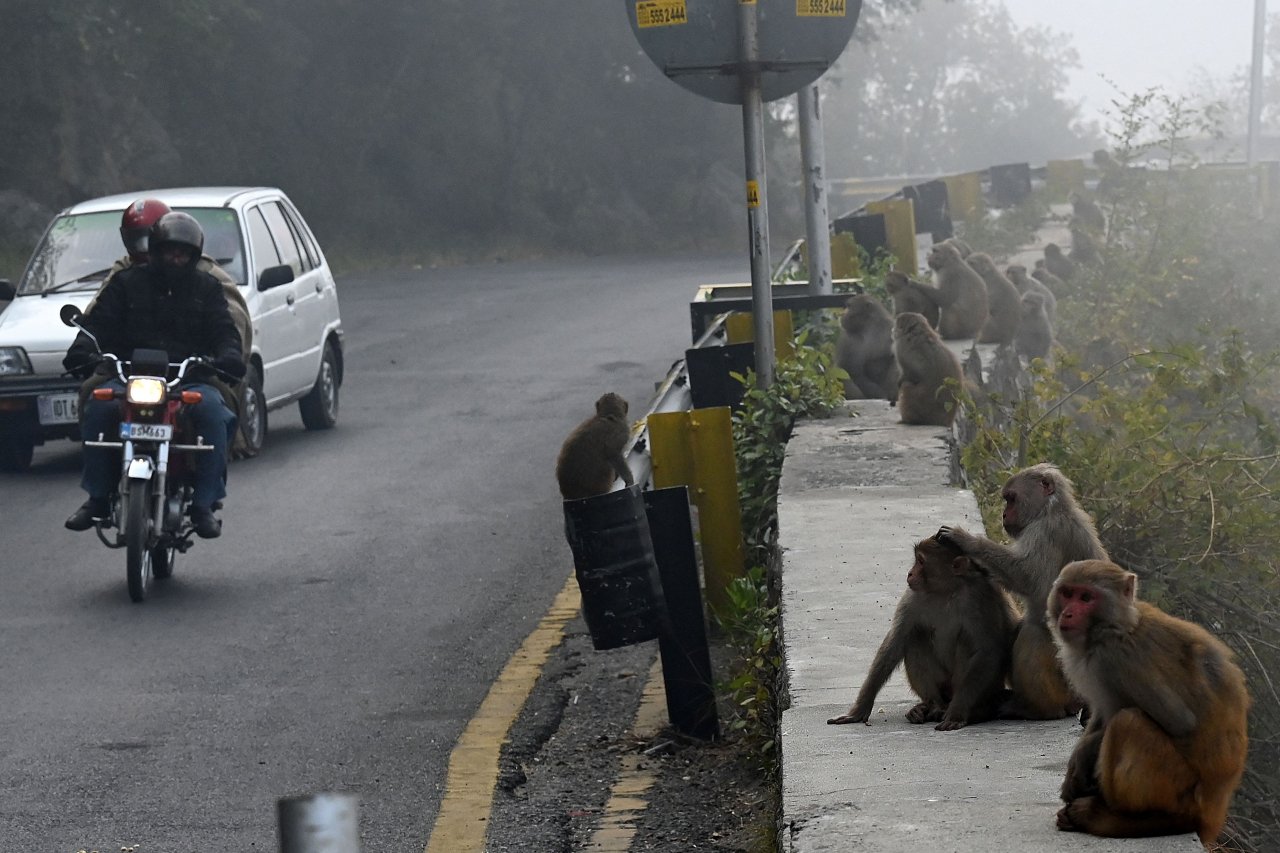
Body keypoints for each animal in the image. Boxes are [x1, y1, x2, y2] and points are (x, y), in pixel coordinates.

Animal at [824, 535, 1013, 727]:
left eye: (921, 561)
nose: (910, 573)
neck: (946, 590)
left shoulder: (980, 597)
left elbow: (986, 650)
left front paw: (957, 713)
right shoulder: (913, 596)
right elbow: (895, 642)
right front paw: (859, 709)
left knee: (966, 641)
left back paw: (971, 711)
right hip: (942, 686)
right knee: (915, 636)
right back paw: (931, 706)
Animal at [936, 461, 1105, 712]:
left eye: (1011, 499)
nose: (1004, 514)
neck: (1050, 510)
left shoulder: (1045, 532)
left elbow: (1028, 578)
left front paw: (966, 540)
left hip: (1067, 680)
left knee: (1031, 633)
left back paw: (1036, 708)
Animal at [1044, 558, 1244, 845]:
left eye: (1086, 598)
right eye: (1067, 593)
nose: (1068, 613)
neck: (1116, 626)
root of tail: (1213, 808)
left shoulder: (1117, 658)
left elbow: (1179, 721)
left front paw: (1081, 759)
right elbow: (1101, 713)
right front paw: (1075, 765)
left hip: (1178, 788)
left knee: (1128, 722)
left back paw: (1123, 817)